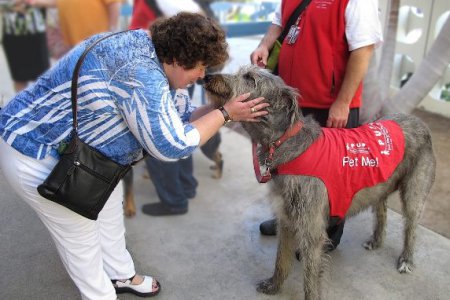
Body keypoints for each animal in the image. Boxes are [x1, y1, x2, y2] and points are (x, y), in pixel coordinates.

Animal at [204, 65, 436, 300]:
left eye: (250, 78)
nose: (207, 76)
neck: (286, 143)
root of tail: (419, 122)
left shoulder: (312, 233)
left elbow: (310, 280)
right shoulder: (287, 220)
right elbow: (281, 260)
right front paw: (274, 286)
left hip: (414, 191)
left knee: (411, 226)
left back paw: (406, 258)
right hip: (382, 183)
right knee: (381, 210)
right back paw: (376, 240)